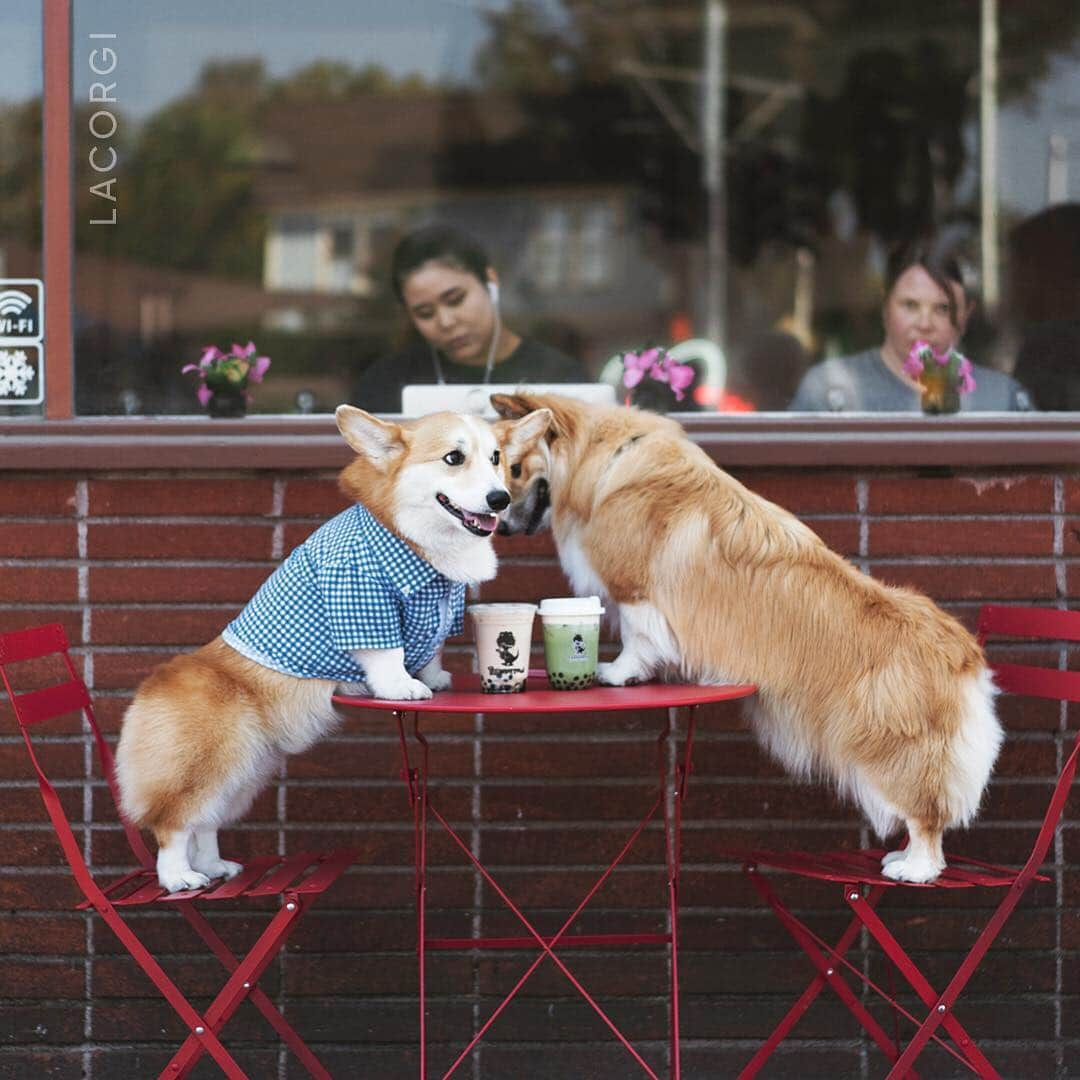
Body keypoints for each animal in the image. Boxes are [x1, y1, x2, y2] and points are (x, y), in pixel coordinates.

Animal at [119, 401, 552, 889]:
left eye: (496, 458)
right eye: (453, 458)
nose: (500, 499)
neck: (414, 537)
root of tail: (153, 686)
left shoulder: (442, 607)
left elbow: (433, 645)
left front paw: (435, 676)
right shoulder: (363, 599)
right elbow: (388, 653)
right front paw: (403, 686)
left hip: (245, 770)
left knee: (207, 823)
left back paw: (214, 867)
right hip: (206, 765)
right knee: (175, 825)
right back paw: (179, 877)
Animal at [494, 393, 997, 881]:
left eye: (512, 467)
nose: (498, 522)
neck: (608, 456)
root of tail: (964, 657)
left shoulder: (636, 594)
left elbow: (639, 641)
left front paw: (616, 673)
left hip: (886, 750)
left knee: (924, 817)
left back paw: (915, 869)